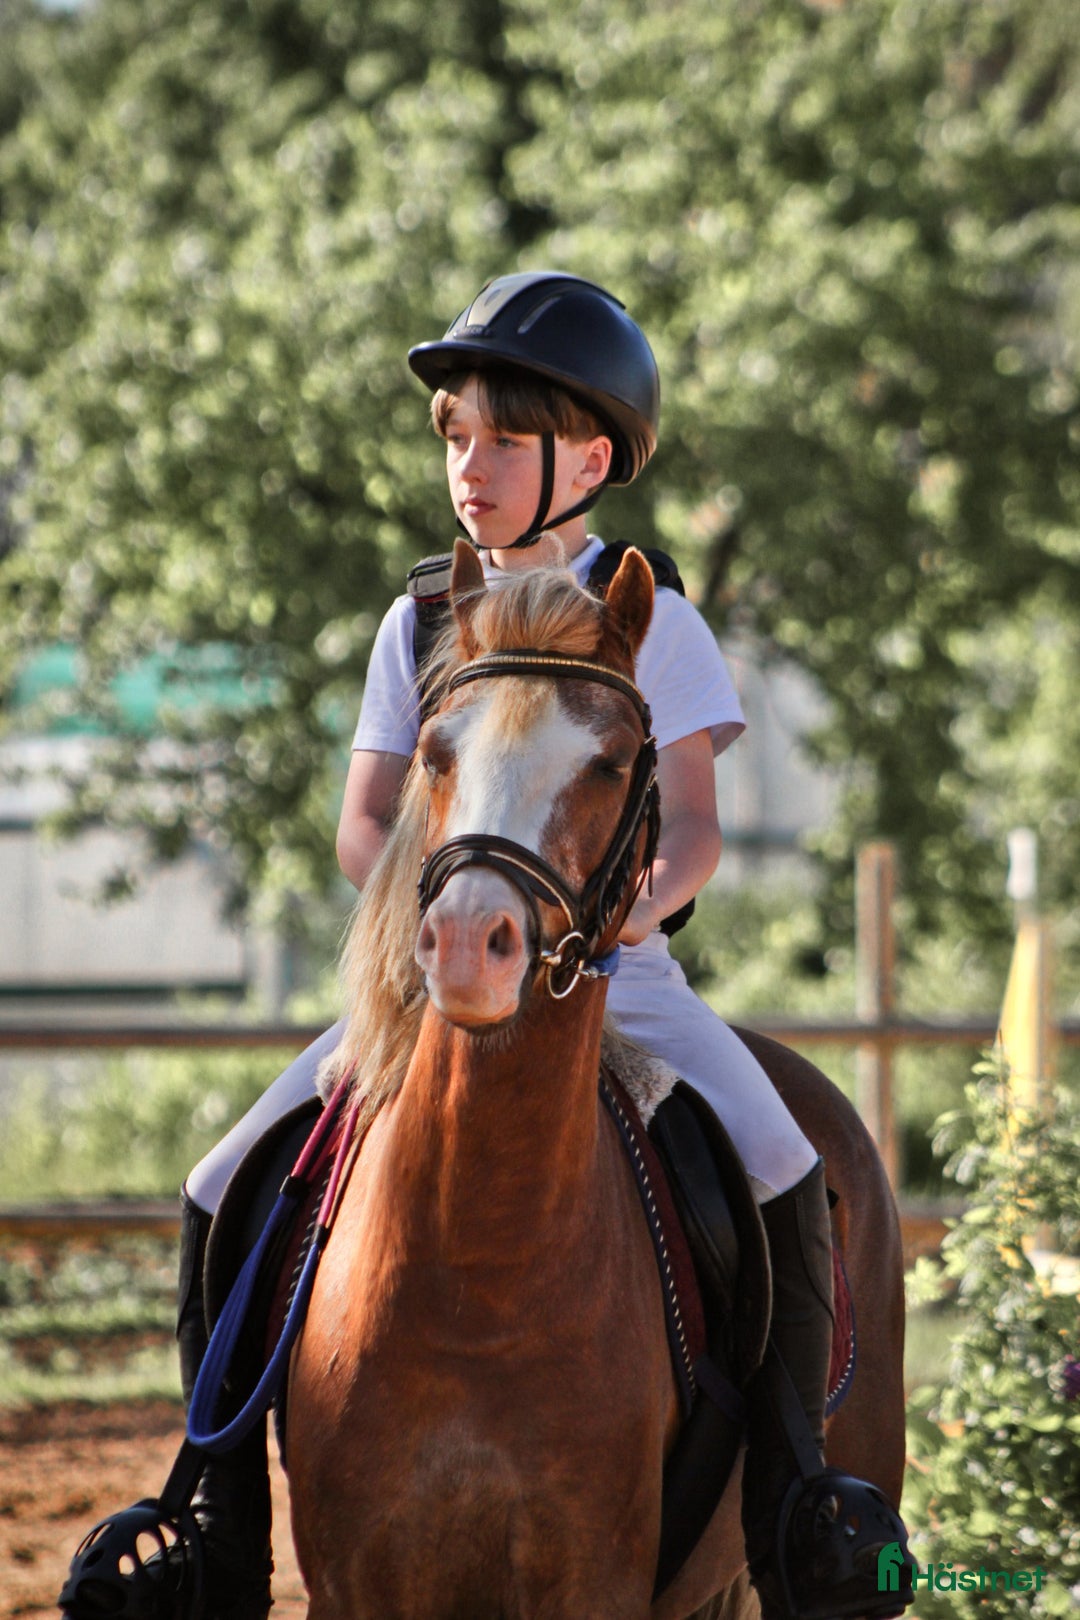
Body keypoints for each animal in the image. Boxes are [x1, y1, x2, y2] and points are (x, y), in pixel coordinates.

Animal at [285, 540, 907, 1620]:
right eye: (435, 751)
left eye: (611, 761)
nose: (466, 946)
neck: (477, 1269)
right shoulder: (355, 1583)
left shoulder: (593, 1577)